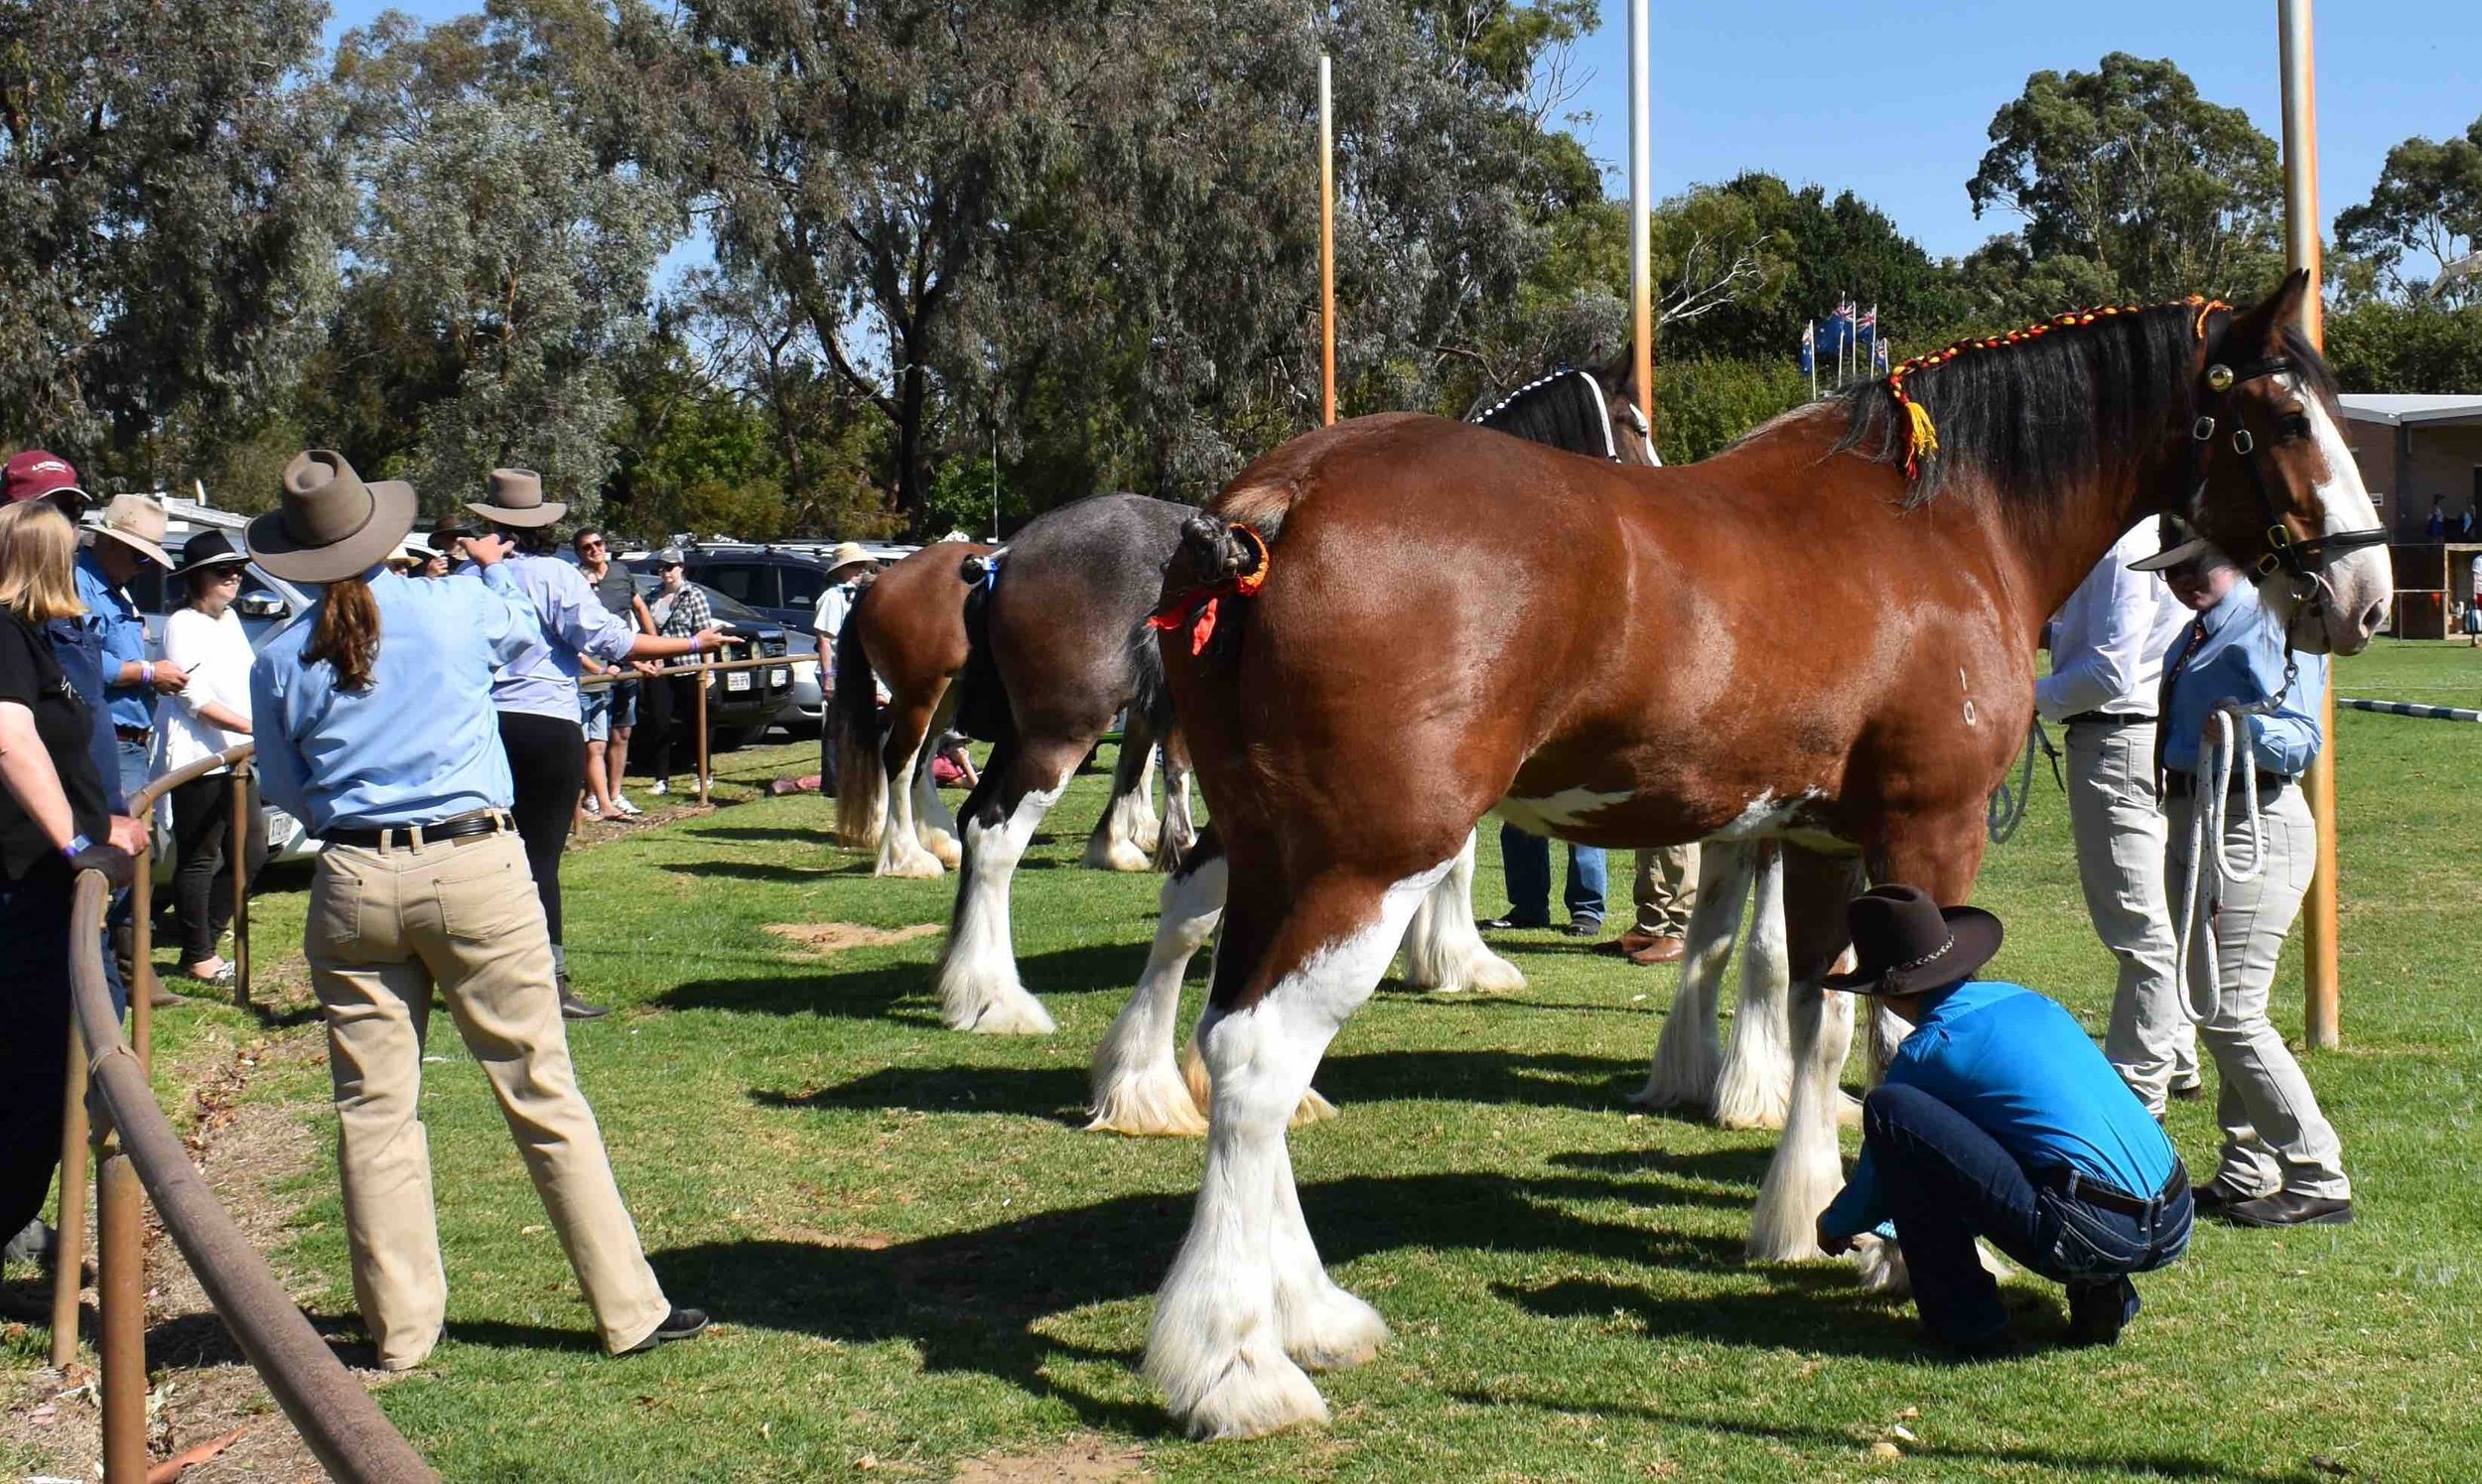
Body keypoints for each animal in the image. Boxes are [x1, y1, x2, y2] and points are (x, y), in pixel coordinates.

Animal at [1137, 273, 2383, 1439]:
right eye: (2280, 414)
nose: (2365, 595)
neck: (1947, 525)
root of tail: (1275, 501)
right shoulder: (1927, 830)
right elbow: (1900, 1038)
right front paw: (1908, 1251)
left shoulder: (1818, 837)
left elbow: (1817, 1019)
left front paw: (1805, 1214)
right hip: (1365, 867)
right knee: (1256, 1061)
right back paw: (1239, 1366)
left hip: (1272, 855)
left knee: (1226, 1023)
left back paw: (1307, 1308)